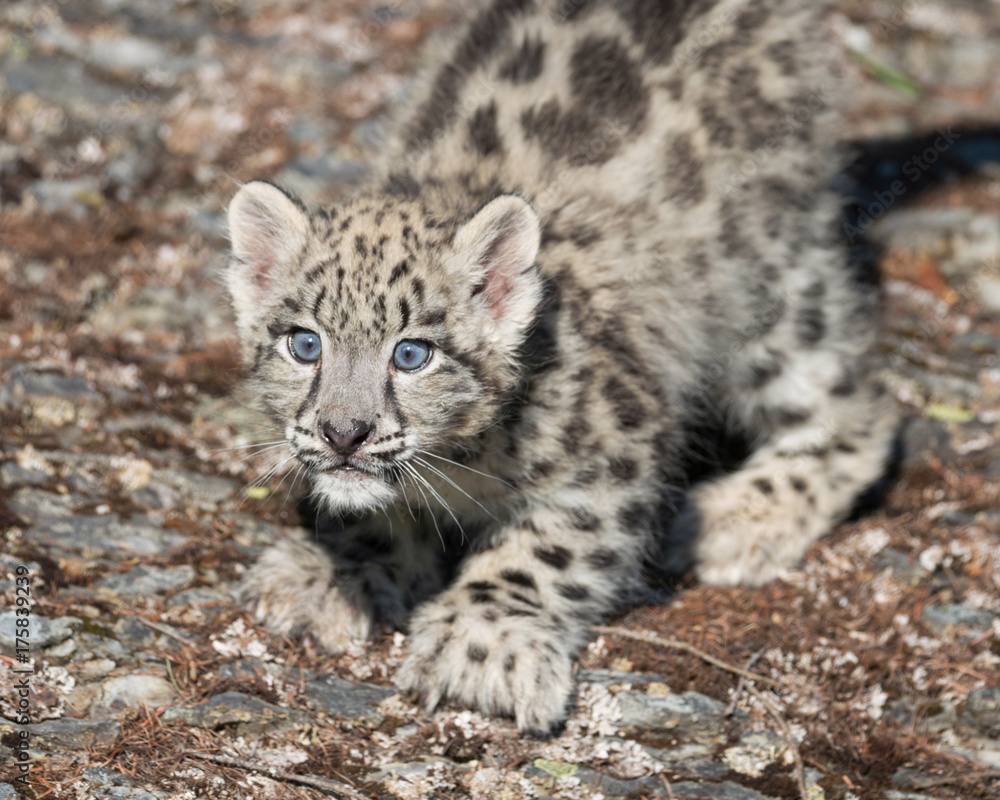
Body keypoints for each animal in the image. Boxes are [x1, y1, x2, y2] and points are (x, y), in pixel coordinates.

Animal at [225, 0, 898, 735]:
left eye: (412, 353)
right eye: (305, 344)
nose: (343, 433)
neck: (466, 463)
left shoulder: (614, 448)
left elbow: (553, 548)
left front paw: (481, 647)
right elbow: (372, 511)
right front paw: (335, 573)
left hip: (766, 292)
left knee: (859, 406)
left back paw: (737, 518)